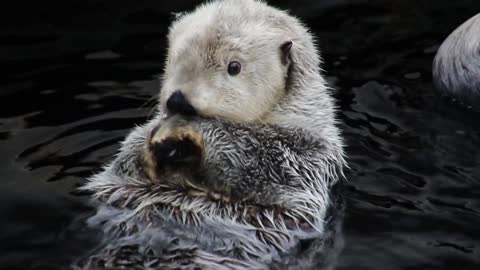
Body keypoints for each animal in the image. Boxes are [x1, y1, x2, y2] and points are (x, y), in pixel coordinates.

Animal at [80, 1, 346, 268]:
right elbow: (127, 157)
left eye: (234, 67)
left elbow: (260, 160)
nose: (178, 101)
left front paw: (194, 133)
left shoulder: (304, 152)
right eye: (176, 57)